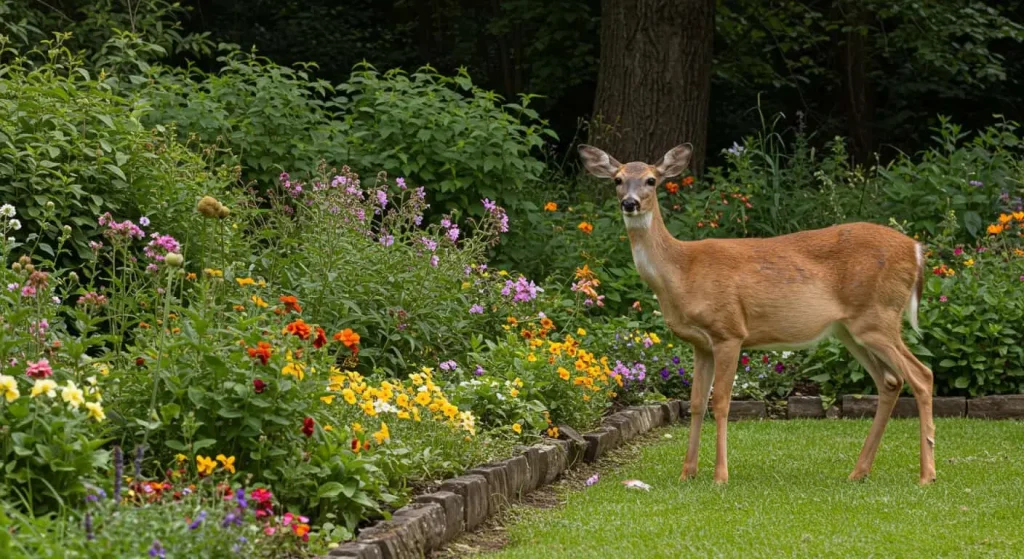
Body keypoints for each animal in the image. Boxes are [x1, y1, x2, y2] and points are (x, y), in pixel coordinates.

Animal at [577, 142, 937, 483]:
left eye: (651, 180)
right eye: (617, 180)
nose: (630, 203)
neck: (682, 272)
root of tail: (916, 250)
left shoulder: (729, 331)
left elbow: (721, 402)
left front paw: (720, 476)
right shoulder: (700, 343)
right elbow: (696, 403)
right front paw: (687, 472)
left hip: (878, 316)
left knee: (922, 375)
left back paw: (926, 475)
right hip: (850, 330)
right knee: (891, 381)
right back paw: (859, 472)